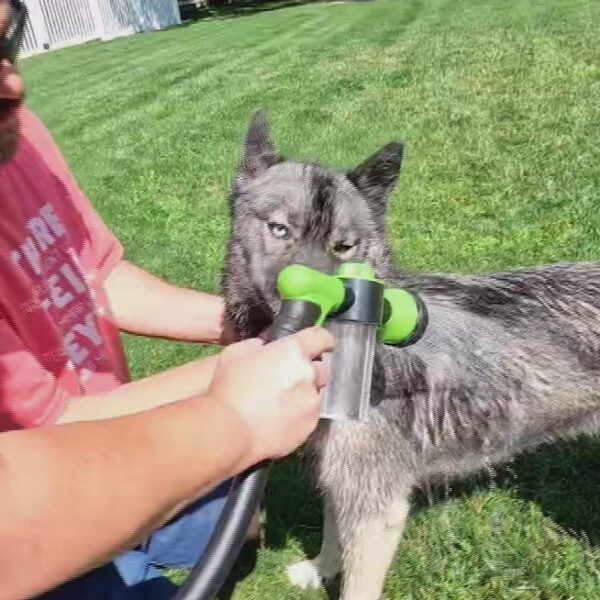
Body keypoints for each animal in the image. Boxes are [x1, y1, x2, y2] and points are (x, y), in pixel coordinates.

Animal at [221, 112, 600, 600]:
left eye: (343, 246)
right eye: (279, 229)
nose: (317, 305)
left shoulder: (376, 506)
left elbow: (357, 582)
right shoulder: (339, 479)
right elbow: (333, 532)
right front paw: (321, 569)